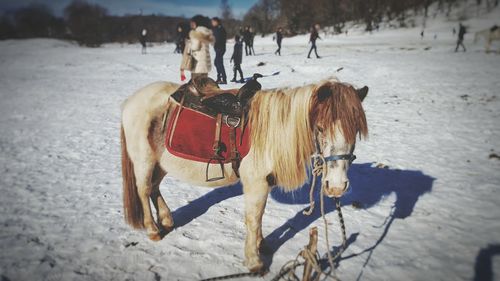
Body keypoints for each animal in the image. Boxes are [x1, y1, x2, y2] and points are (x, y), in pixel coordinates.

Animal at [119, 77, 370, 270]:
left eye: (356, 131)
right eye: (320, 128)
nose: (336, 186)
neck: (271, 130)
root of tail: (131, 101)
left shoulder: (264, 183)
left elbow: (259, 217)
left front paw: (261, 245)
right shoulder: (256, 183)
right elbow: (253, 218)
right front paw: (254, 261)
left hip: (161, 163)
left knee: (154, 187)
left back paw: (167, 219)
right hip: (144, 161)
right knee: (144, 190)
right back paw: (153, 230)